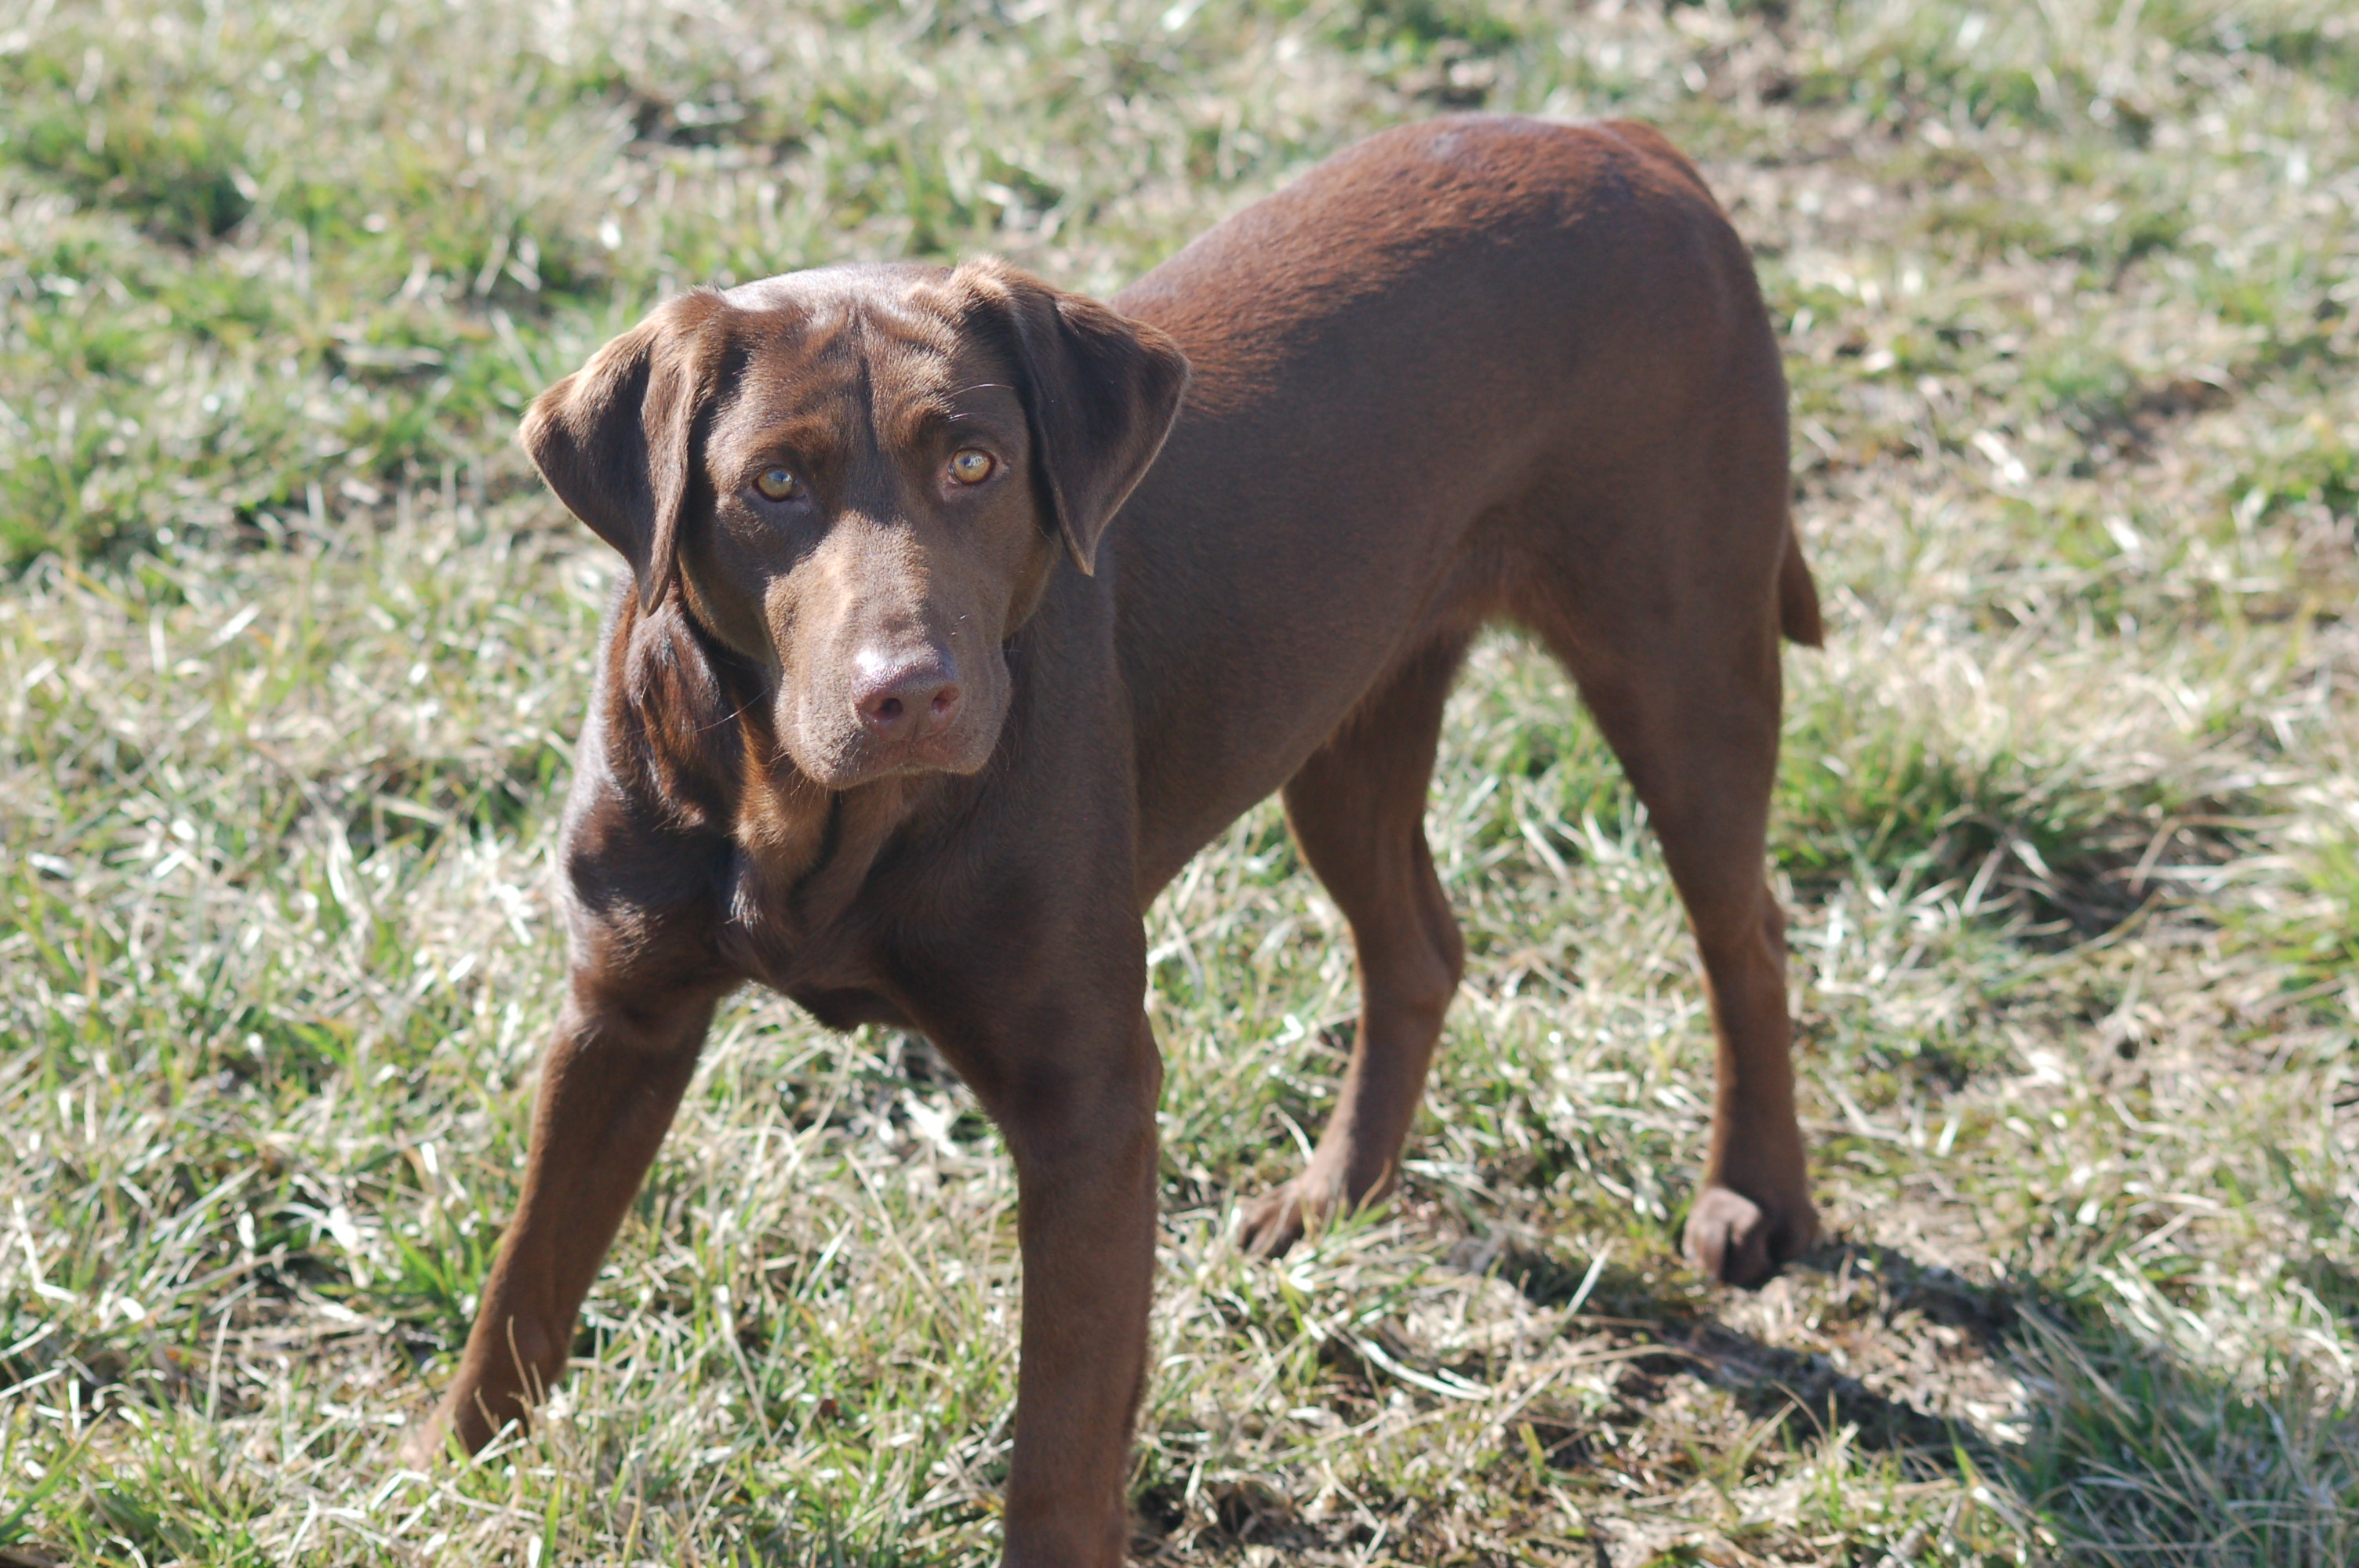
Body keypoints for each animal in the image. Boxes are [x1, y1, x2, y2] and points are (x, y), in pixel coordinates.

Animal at [405, 116, 1821, 1555]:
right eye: (774, 484)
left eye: (974, 463)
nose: (908, 693)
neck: (810, 815)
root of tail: (1623, 138)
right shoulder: (619, 1013)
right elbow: (528, 1275)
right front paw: (444, 1471)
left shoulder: (1084, 1097)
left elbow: (1066, 1422)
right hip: (1345, 714)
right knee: (1417, 946)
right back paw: (1337, 1196)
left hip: (1681, 660)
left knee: (1743, 929)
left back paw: (1755, 1200)